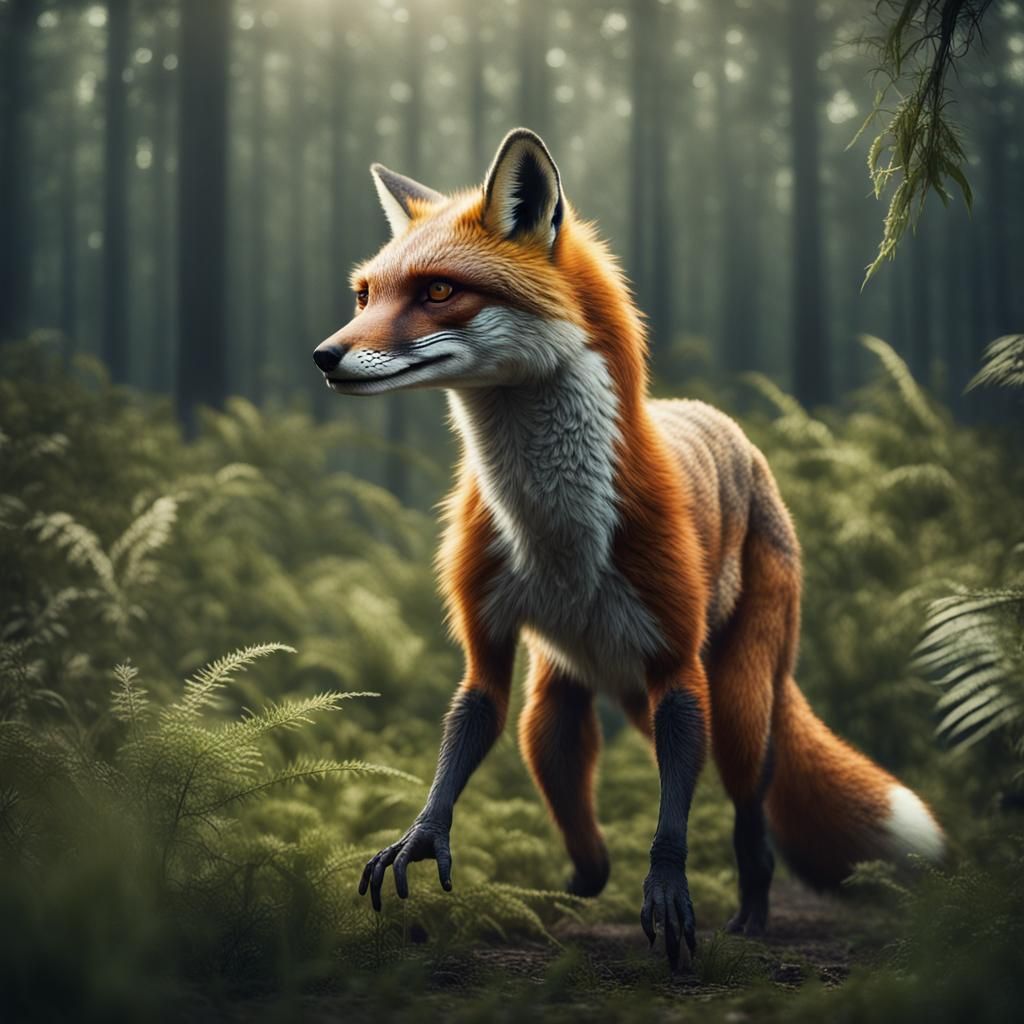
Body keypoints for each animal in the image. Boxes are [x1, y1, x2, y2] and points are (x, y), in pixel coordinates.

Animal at [313, 129, 945, 969]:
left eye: (439, 292)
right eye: (365, 296)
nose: (325, 355)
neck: (558, 537)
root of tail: (728, 428)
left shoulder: (676, 664)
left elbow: (675, 822)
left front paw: (669, 889)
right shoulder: (488, 648)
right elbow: (462, 743)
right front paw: (424, 836)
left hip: (736, 699)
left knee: (752, 811)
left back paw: (750, 910)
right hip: (559, 694)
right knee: (571, 787)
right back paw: (583, 879)